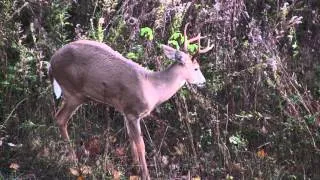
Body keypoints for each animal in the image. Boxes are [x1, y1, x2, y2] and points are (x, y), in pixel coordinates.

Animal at [48, 23, 212, 179]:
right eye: (196, 68)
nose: (204, 82)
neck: (154, 88)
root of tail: (51, 63)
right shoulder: (133, 111)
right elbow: (141, 145)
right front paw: (146, 175)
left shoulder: (125, 111)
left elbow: (132, 140)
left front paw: (135, 168)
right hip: (74, 93)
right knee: (60, 118)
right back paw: (74, 161)